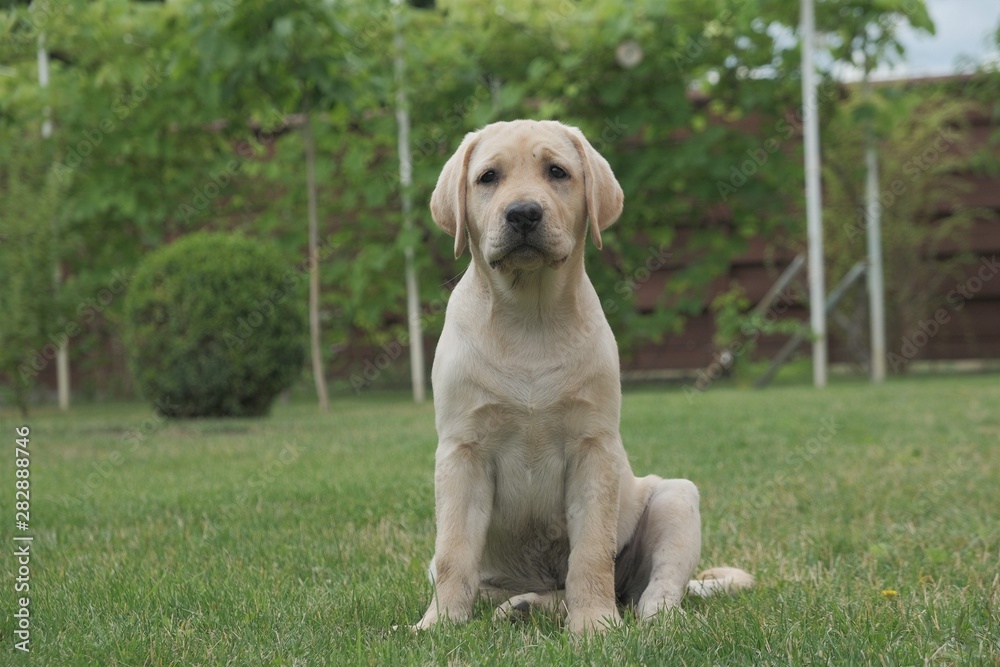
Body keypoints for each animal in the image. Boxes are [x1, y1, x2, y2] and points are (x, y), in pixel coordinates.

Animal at [414, 121, 752, 636]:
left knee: (654, 588)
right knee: (489, 583)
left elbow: (591, 552)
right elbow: (455, 553)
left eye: (558, 172)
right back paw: (522, 606)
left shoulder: (593, 448)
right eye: (488, 177)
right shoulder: (461, 451)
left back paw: (648, 618)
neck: (530, 319)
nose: (524, 213)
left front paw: (594, 626)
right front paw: (438, 626)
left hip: (675, 498)